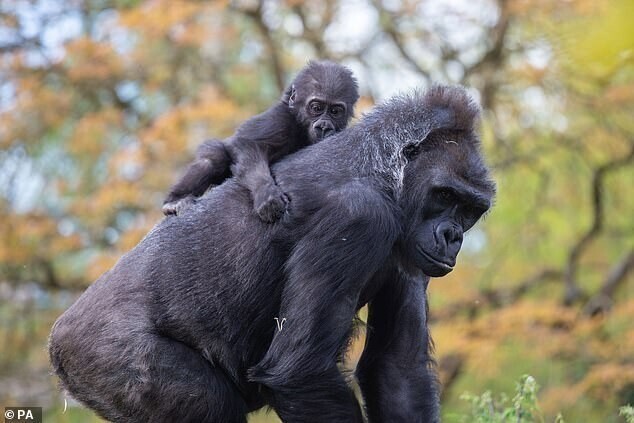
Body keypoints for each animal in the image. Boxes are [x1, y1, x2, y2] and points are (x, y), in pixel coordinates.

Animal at [49, 84, 494, 422]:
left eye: (470, 209)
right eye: (444, 195)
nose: (452, 235)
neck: (387, 176)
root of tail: (58, 343)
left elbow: (397, 371)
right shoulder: (358, 216)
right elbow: (299, 371)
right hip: (104, 357)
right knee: (209, 404)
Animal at [163, 62, 358, 224]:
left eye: (335, 111)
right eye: (316, 108)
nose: (324, 126)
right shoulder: (279, 121)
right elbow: (248, 145)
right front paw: (267, 195)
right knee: (213, 159)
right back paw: (175, 201)